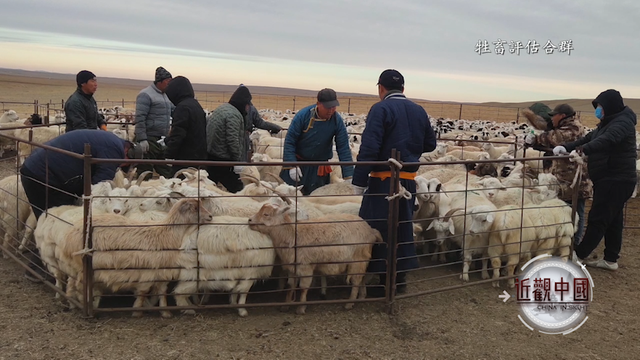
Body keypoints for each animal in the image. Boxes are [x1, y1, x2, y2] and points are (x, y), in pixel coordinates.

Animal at [249, 202, 380, 316]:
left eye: (266, 214)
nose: (249, 220)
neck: (292, 236)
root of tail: (371, 230)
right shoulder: (292, 268)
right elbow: (290, 286)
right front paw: (285, 305)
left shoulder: (305, 267)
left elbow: (303, 288)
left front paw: (301, 308)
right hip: (361, 261)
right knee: (361, 278)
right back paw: (361, 297)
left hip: (358, 258)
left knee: (356, 281)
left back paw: (349, 303)